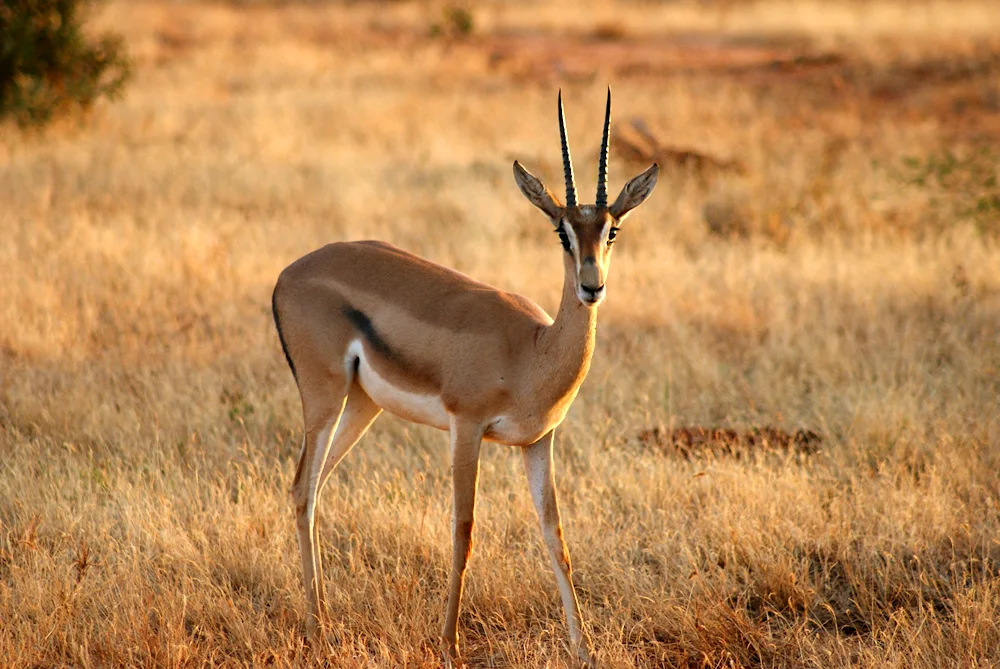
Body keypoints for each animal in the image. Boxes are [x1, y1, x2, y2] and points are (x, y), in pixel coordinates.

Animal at [272, 90, 656, 664]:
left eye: (611, 229)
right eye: (561, 232)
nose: (592, 286)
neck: (531, 351)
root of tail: (286, 275)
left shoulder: (538, 442)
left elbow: (556, 536)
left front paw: (584, 649)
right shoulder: (467, 427)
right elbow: (463, 531)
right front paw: (449, 645)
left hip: (362, 404)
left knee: (314, 488)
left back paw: (322, 622)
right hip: (325, 396)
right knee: (300, 486)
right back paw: (318, 631)